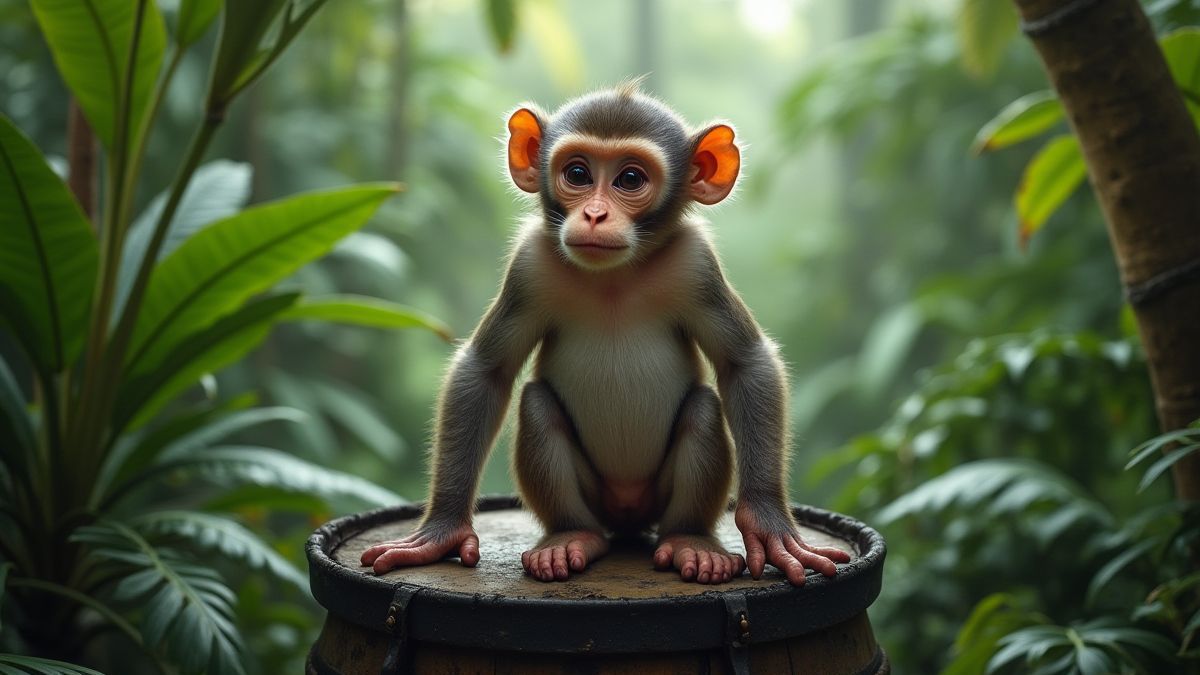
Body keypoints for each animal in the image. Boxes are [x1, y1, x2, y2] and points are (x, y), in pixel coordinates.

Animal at [360, 81, 851, 586]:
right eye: (577, 173)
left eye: (630, 179)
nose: (595, 215)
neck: (614, 276)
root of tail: (627, 516)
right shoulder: (530, 265)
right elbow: (486, 370)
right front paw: (442, 529)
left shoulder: (696, 264)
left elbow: (745, 361)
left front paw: (768, 524)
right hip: (596, 498)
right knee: (538, 406)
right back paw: (571, 537)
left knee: (701, 410)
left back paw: (691, 542)